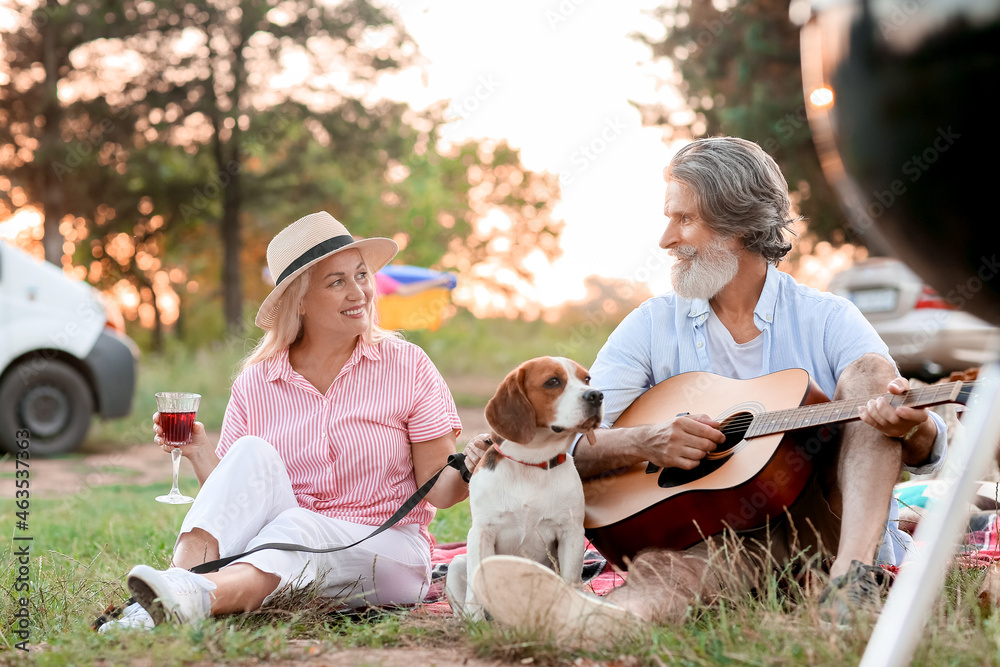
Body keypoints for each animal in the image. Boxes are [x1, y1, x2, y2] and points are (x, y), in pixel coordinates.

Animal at [446, 358, 600, 620]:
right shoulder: (481, 532)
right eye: (553, 381)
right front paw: (476, 624)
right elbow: (476, 585)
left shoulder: (571, 532)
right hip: (457, 563)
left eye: (587, 379)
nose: (597, 395)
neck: (531, 465)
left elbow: (571, 579)